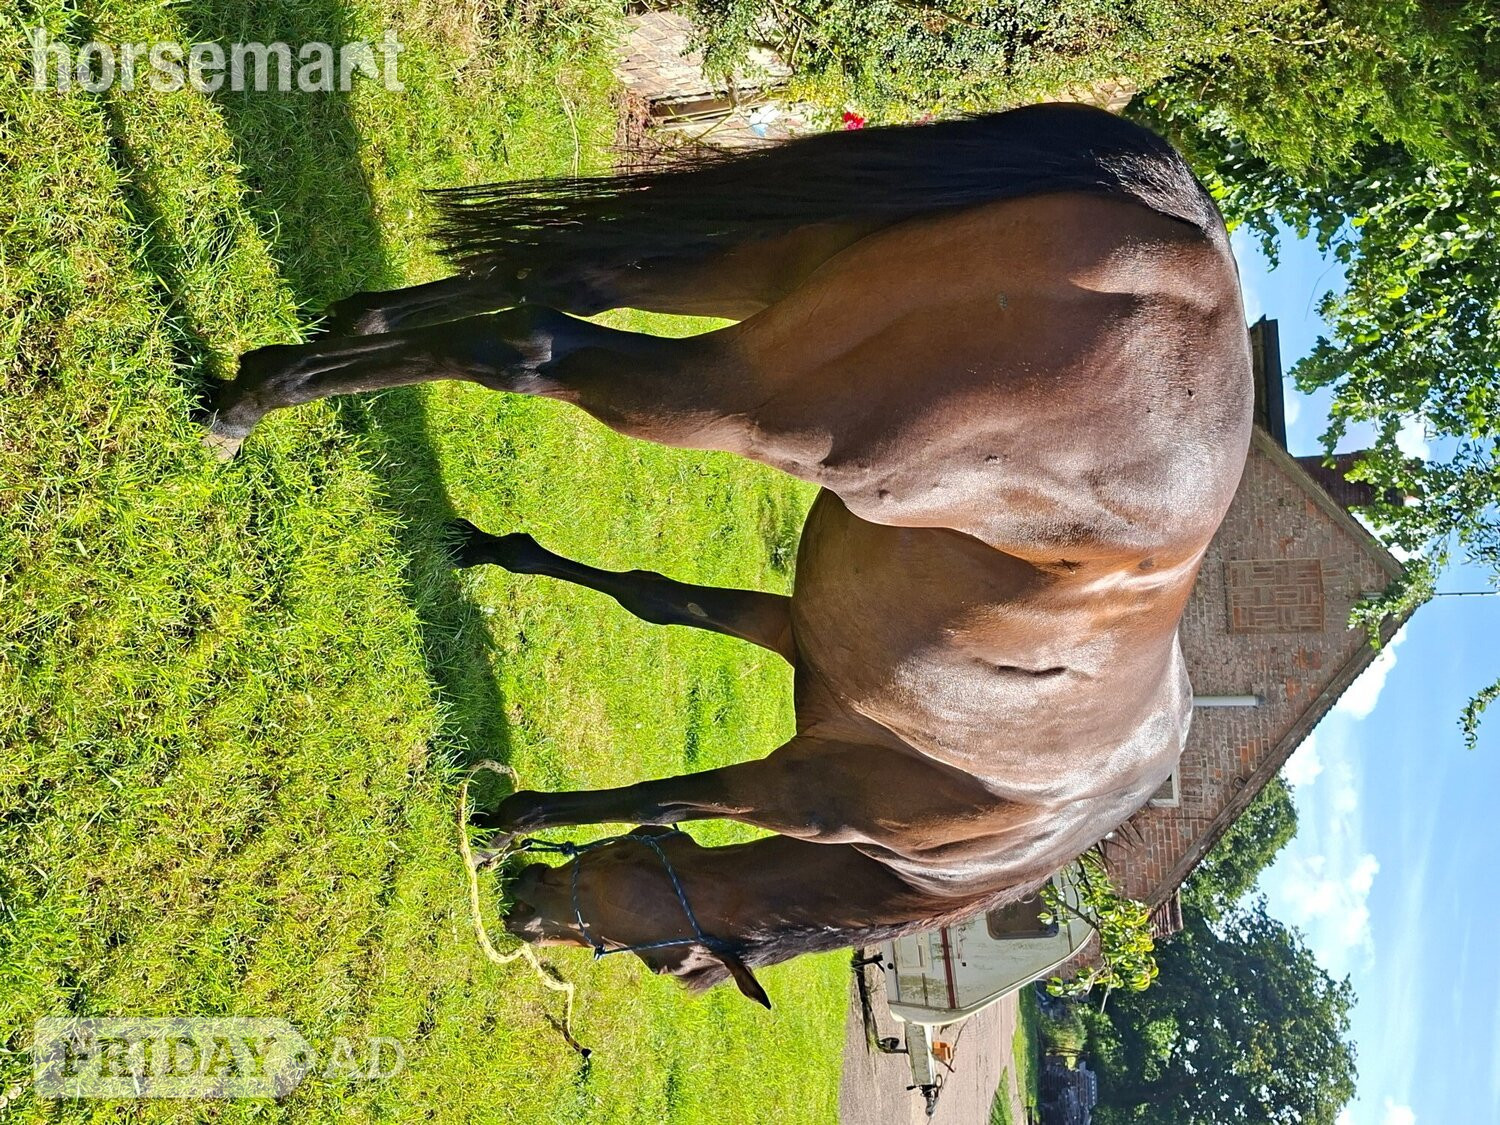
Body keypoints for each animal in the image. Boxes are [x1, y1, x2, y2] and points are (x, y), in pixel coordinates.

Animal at [207, 102, 1253, 1008]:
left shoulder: (797, 633)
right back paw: (257, 397)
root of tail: (1186, 240)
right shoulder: (800, 796)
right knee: (533, 345)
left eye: (658, 957)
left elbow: (657, 605)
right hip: (742, 396)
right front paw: (518, 817)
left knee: (564, 283)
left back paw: (334, 332)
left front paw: (491, 557)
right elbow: (673, 795)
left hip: (763, 269)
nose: (527, 911)